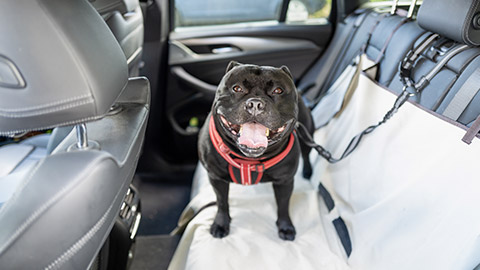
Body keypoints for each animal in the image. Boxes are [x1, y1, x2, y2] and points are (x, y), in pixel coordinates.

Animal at [197, 61, 314, 240]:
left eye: (278, 90)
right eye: (237, 88)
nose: (255, 104)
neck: (248, 159)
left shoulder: (284, 181)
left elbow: (283, 205)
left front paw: (285, 227)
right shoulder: (216, 178)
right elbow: (222, 202)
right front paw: (221, 223)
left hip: (307, 134)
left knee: (307, 154)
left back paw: (308, 171)